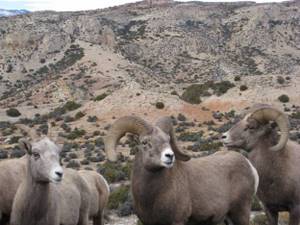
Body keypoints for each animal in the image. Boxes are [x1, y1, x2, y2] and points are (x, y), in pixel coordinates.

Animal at [105, 116, 258, 225]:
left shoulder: (177, 220)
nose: (169, 156)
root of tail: (250, 166)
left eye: (167, 139)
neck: (151, 197)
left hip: (240, 213)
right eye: (145, 142)